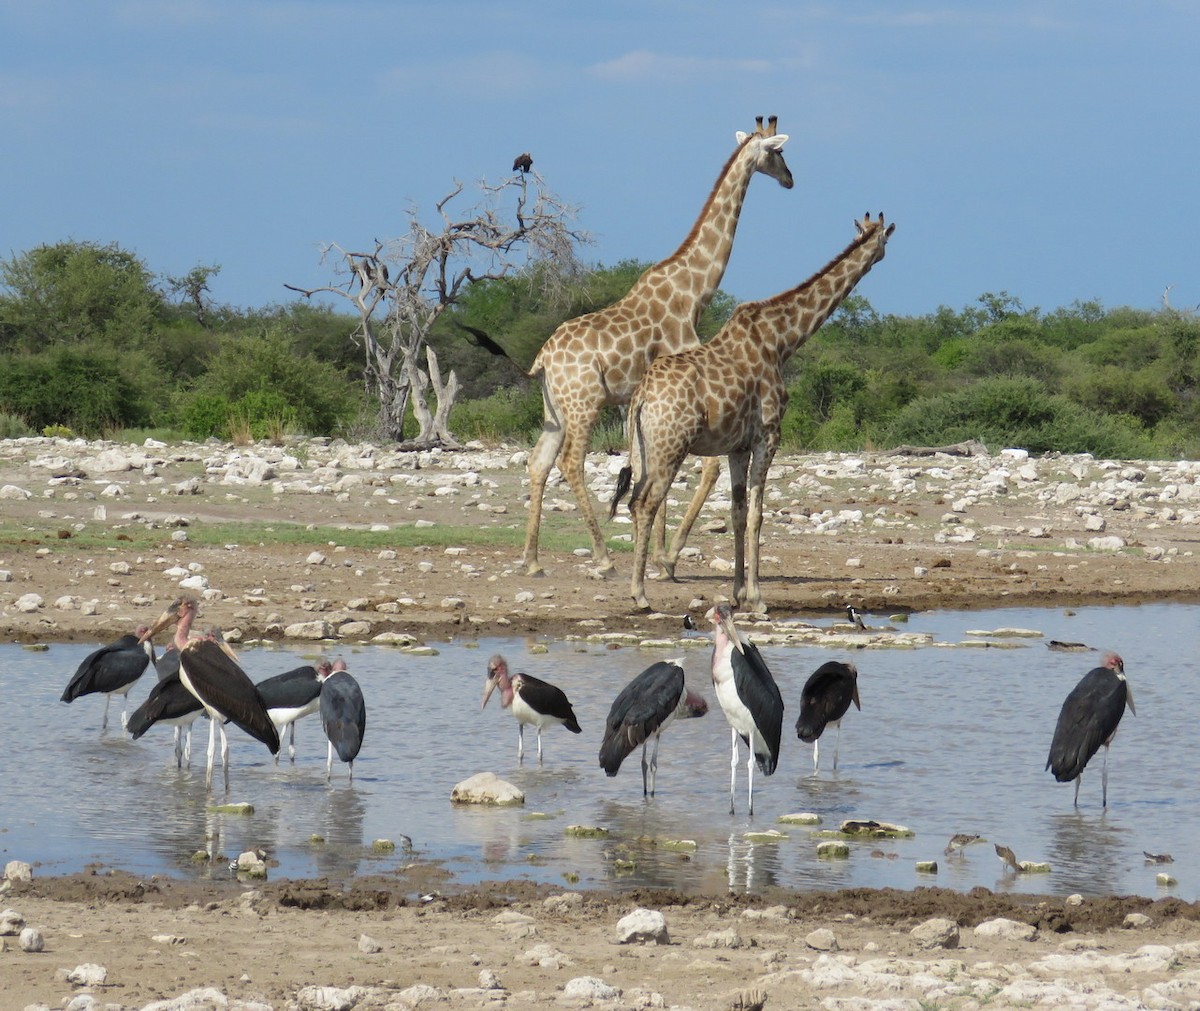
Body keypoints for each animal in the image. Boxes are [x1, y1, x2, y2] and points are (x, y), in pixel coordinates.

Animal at [518, 116, 792, 576]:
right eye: (779, 153)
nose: (791, 180)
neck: (694, 292)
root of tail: (542, 360)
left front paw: (657, 552)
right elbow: (706, 469)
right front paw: (667, 555)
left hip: (553, 407)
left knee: (539, 462)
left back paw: (533, 560)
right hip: (584, 401)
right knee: (570, 463)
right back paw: (602, 556)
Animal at [614, 208, 897, 609]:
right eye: (884, 239)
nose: (880, 255)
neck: (782, 341)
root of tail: (641, 397)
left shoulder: (737, 446)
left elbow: (737, 513)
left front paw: (737, 593)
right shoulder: (768, 435)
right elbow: (758, 514)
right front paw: (758, 597)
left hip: (639, 448)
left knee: (635, 501)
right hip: (670, 446)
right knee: (645, 504)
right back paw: (639, 594)